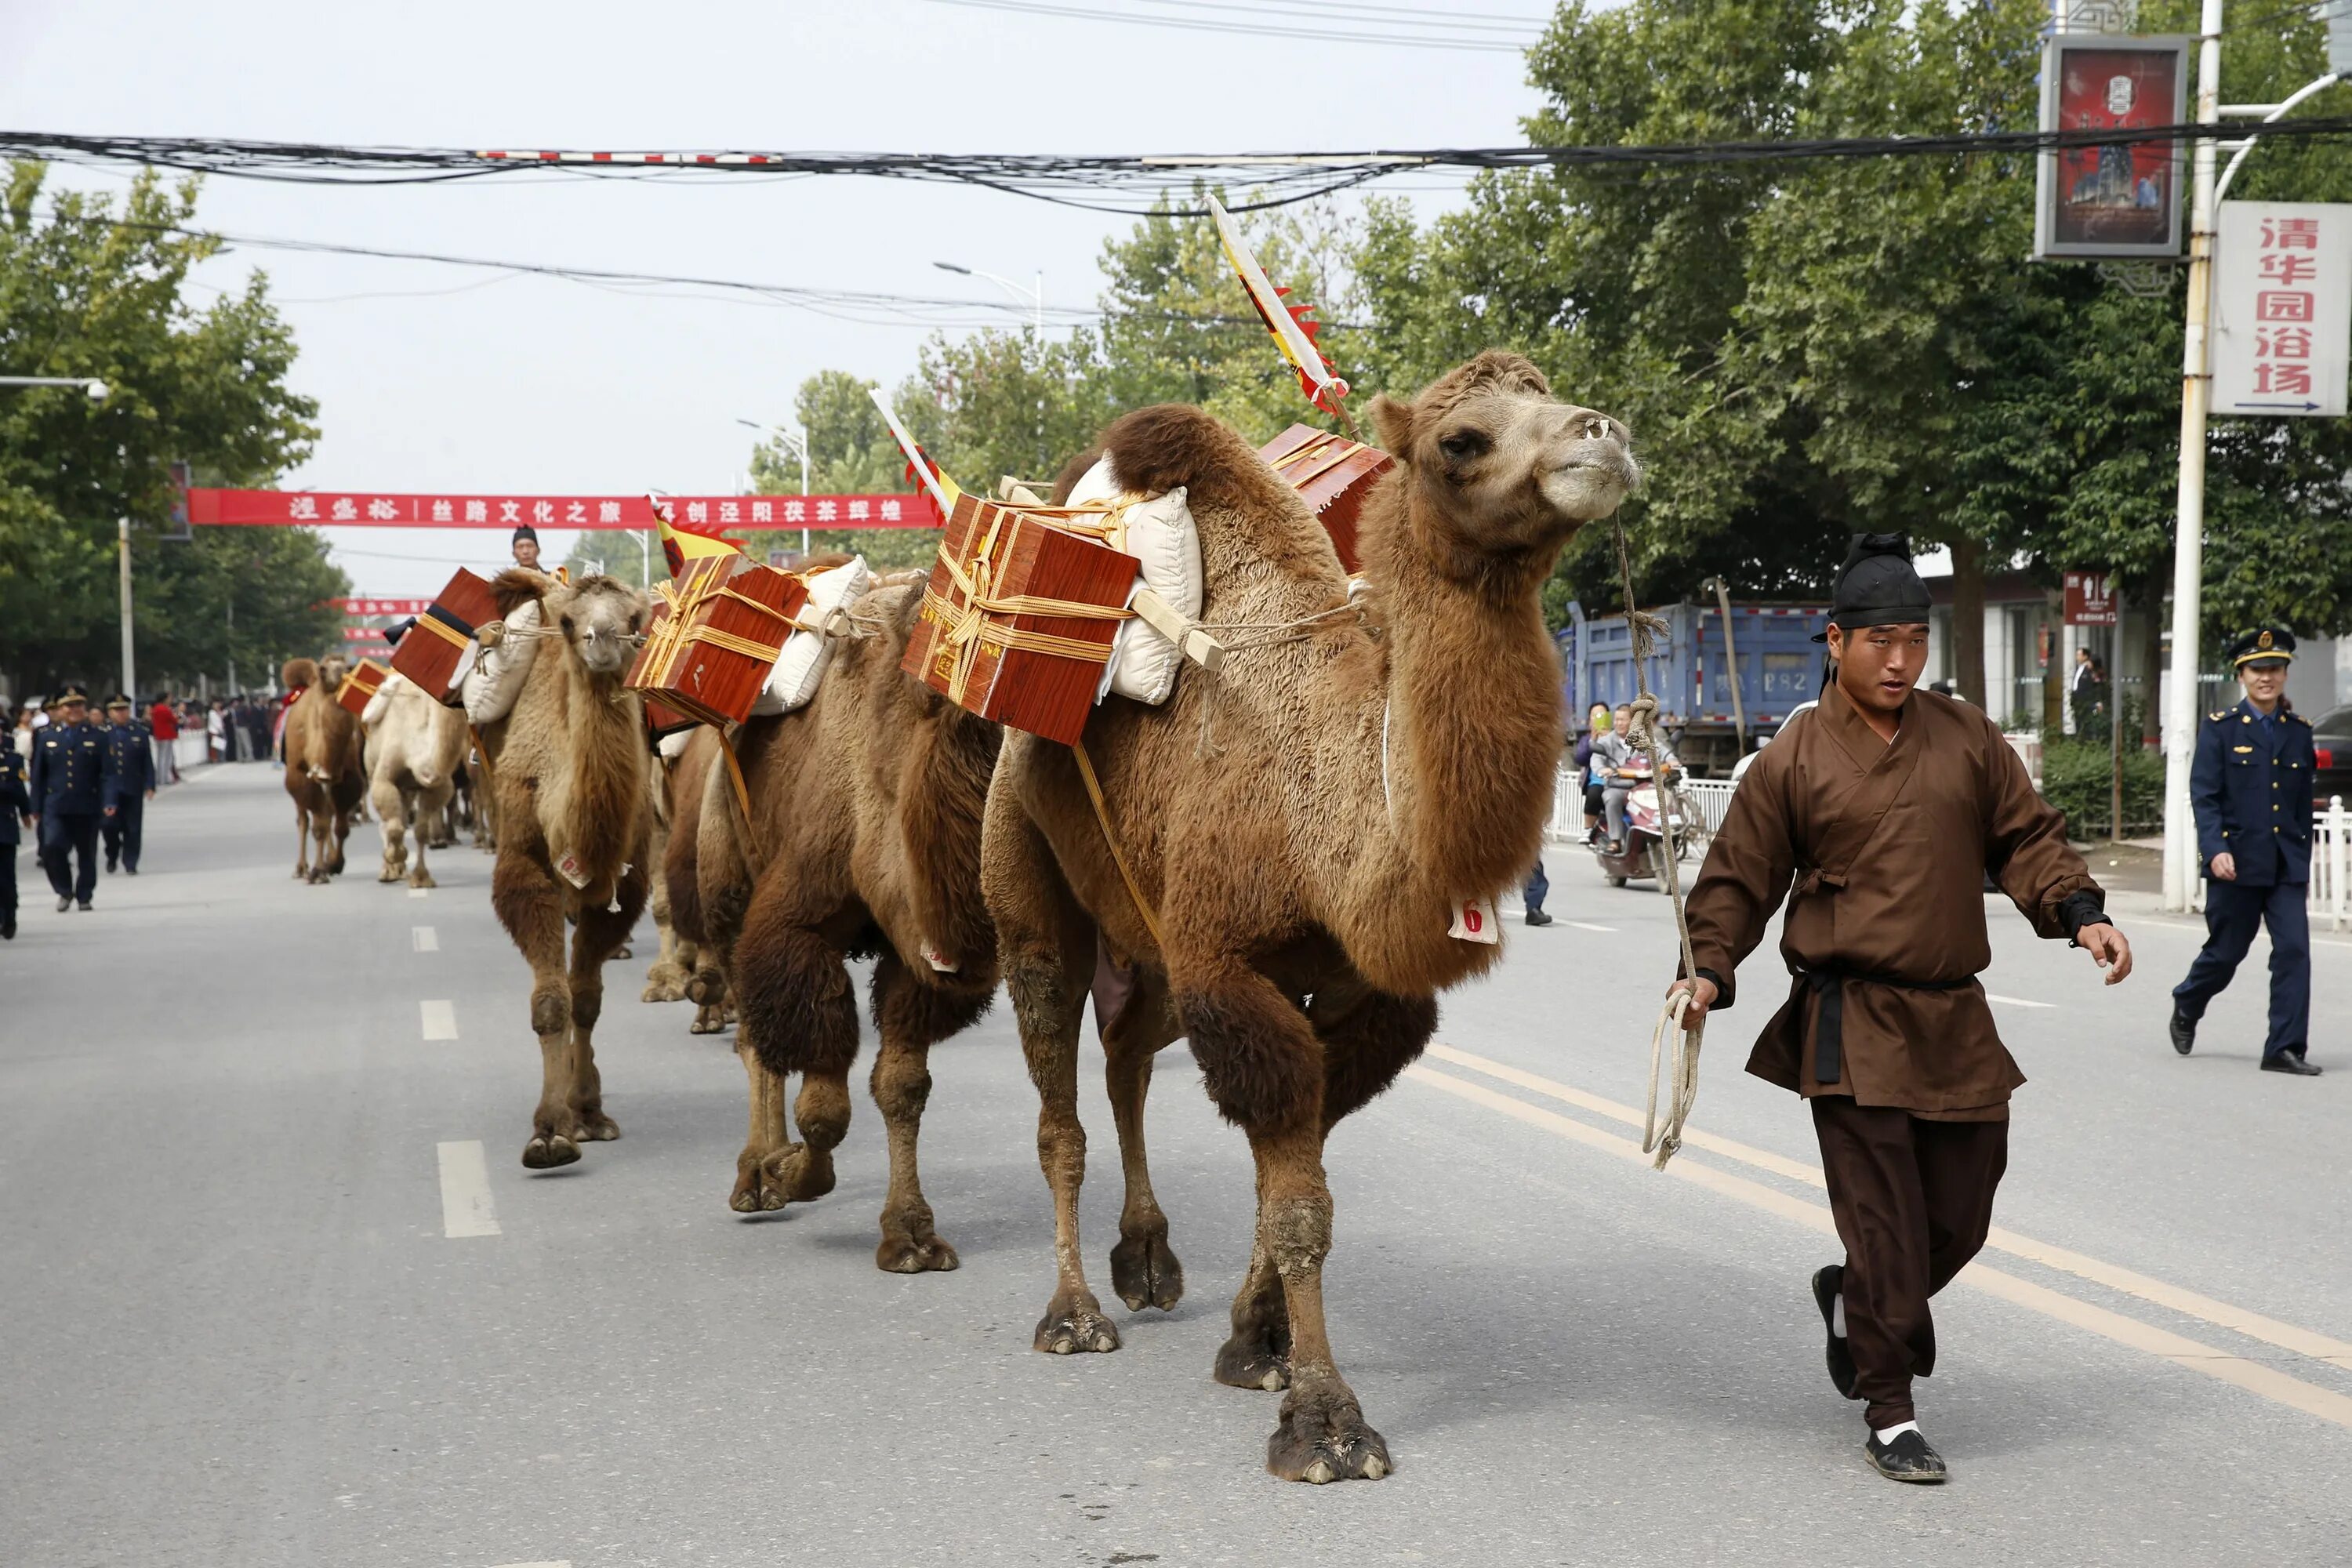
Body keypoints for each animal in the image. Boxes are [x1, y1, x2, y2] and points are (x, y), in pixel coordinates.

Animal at [280, 658, 367, 888]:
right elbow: (319, 826)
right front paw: (318, 872)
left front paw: (335, 863)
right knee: (304, 820)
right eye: (325, 668)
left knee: (328, 814)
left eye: (347, 665)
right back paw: (301, 868)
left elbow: (340, 827)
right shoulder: (303, 777)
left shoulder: (348, 778)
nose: (345, 672)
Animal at [360, 677, 470, 888]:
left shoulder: (437, 788)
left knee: (403, 816)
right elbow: (394, 828)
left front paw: (421, 878)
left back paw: (401, 869)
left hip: (407, 790)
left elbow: (420, 831)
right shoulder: (384, 778)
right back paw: (389, 871)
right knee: (390, 823)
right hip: (371, 766)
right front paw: (394, 858)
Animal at [480, 571, 659, 1171]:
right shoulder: (522, 871)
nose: (601, 638)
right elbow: (552, 1002)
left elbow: (586, 999)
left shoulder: (625, 883)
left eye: (635, 618)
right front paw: (549, 1132)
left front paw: (586, 1112)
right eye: (565, 622)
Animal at [978, 352, 1637, 1486]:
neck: (1331, 804)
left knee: (1126, 1055)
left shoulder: (1363, 995)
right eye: (1461, 439)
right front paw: (1326, 1421)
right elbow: (1298, 1203)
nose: (1602, 434)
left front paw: (1259, 1343)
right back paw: (1074, 1314)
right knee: (1059, 1095)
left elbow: (1294, 1171)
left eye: (1552, 390)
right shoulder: (1231, 966)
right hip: (1030, 872)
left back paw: (1146, 1259)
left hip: (1153, 942)